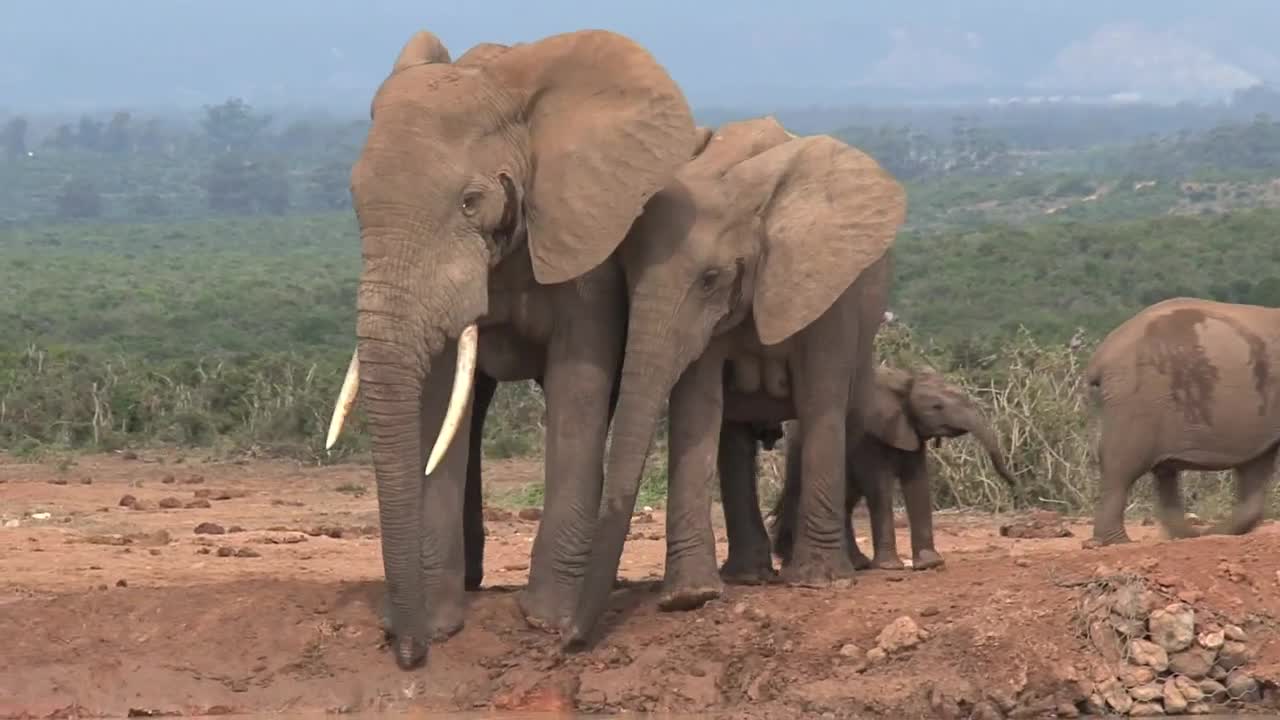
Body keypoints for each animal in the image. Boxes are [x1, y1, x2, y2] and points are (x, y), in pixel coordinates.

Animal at [321, 28, 696, 669]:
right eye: (354, 200)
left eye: (471, 201)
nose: (408, 654)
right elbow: (441, 397)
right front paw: (439, 626)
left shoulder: (583, 232)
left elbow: (579, 386)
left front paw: (548, 621)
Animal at [563, 116, 907, 648]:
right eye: (625, 279)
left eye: (711, 278)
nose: (568, 641)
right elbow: (697, 407)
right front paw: (690, 598)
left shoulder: (825, 288)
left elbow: (821, 401)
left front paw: (819, 583)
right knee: (733, 440)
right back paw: (749, 575)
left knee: (838, 419)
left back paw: (837, 565)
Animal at [765, 366, 1019, 574]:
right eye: (936, 407)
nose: (1013, 483)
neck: (906, 381)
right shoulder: (867, 435)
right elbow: (879, 485)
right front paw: (890, 568)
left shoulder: (910, 430)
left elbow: (918, 482)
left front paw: (930, 563)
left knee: (844, 502)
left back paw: (858, 564)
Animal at [1084, 296, 1280, 547]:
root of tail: (1100, 357)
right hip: (1136, 398)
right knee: (1123, 466)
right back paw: (1119, 543)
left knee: (1165, 471)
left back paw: (1190, 536)